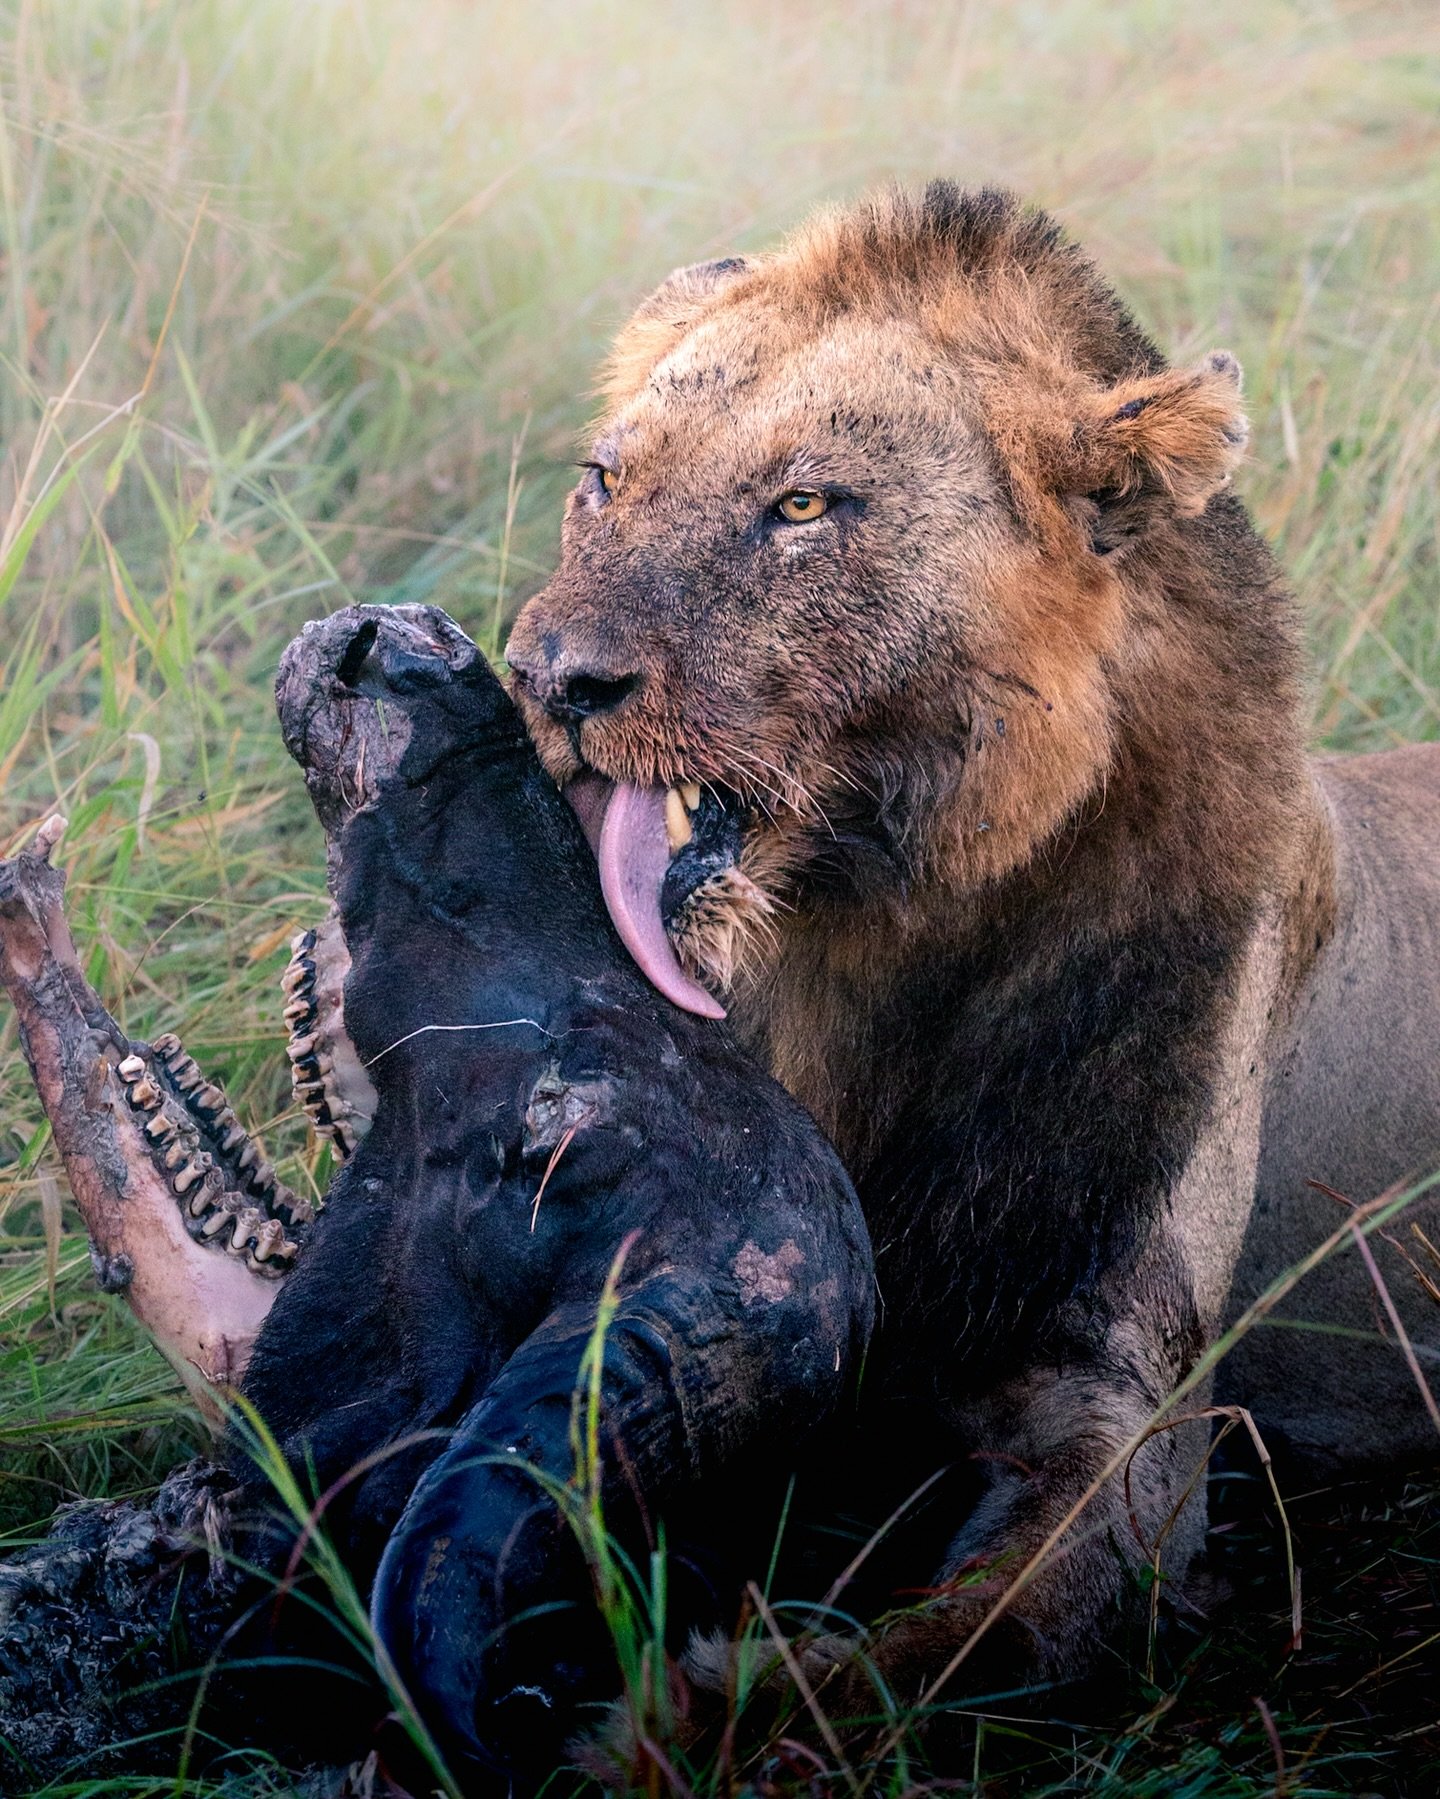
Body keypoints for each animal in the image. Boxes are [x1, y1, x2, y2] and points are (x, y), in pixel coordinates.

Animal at [505, 184, 1440, 1715]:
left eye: (804, 506)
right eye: (602, 479)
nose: (551, 678)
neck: (859, 954)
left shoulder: (1124, 1400)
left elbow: (966, 1643)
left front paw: (685, 1719)